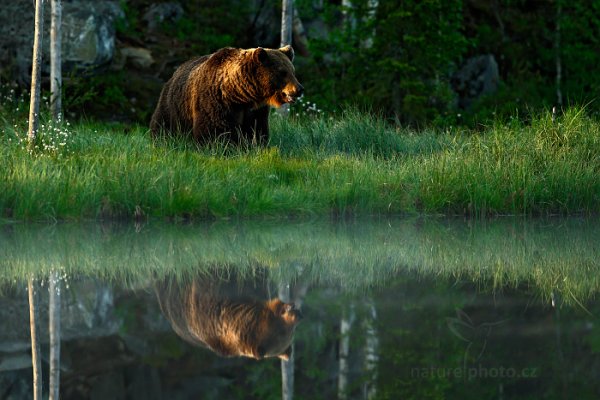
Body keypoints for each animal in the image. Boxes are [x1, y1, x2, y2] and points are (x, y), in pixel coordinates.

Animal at [148, 45, 302, 145]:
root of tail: (175, 72)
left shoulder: (255, 110)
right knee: (163, 124)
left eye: (292, 71)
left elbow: (256, 129)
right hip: (174, 107)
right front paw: (222, 147)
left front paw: (255, 144)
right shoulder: (216, 102)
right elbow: (215, 130)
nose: (299, 89)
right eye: (282, 72)